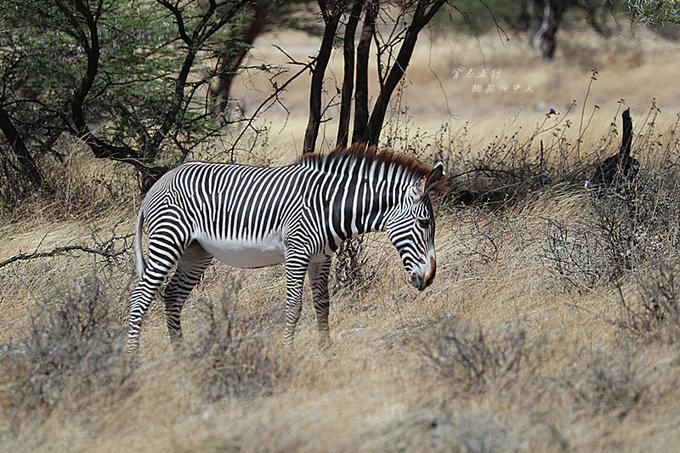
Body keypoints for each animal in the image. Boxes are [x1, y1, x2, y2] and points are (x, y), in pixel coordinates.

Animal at [127, 143, 446, 352]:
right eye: (423, 222)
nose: (430, 277)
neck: (329, 205)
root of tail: (158, 182)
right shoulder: (297, 253)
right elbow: (294, 306)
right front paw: (288, 351)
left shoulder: (321, 258)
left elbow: (322, 304)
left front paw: (325, 351)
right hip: (168, 239)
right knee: (140, 297)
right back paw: (132, 361)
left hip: (195, 252)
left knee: (172, 295)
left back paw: (180, 355)